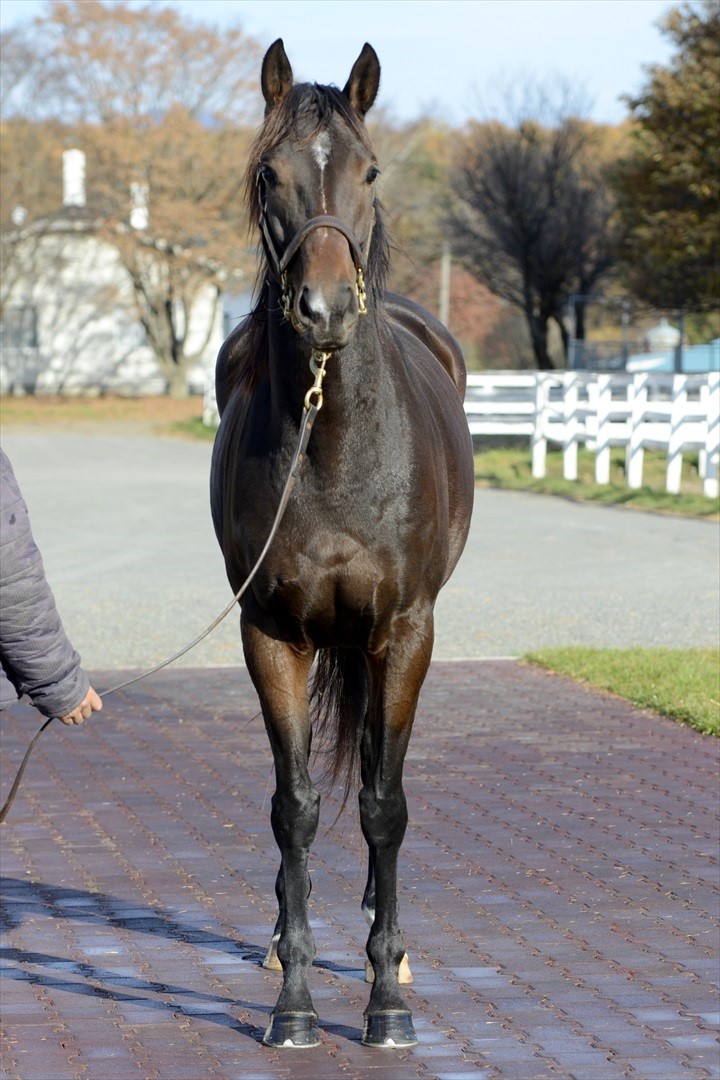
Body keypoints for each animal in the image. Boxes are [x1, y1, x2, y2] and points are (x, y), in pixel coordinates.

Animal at [211, 39, 474, 1045]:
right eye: (267, 174)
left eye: (369, 171)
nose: (322, 309)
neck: (333, 449)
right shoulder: (271, 635)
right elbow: (294, 808)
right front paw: (293, 1000)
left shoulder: (404, 632)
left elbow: (384, 804)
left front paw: (387, 1000)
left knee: (370, 772)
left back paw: (379, 942)